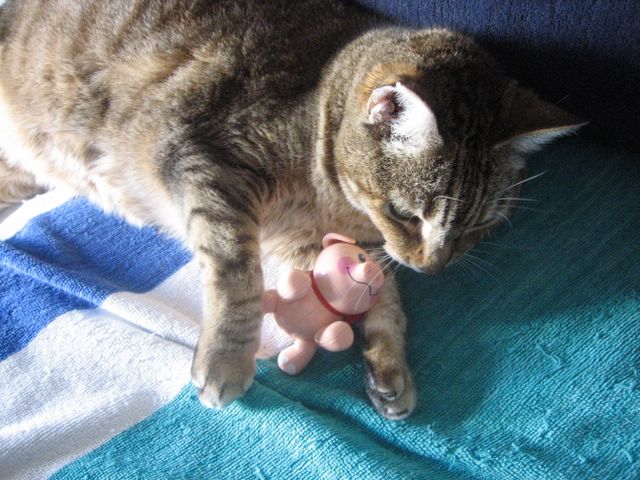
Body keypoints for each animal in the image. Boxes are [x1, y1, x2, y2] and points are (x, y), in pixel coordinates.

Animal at [0, 0, 582, 420]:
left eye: (479, 226)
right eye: (406, 213)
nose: (433, 268)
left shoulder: (310, 242)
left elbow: (386, 299)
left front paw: (389, 367)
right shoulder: (208, 168)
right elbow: (237, 280)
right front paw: (226, 359)